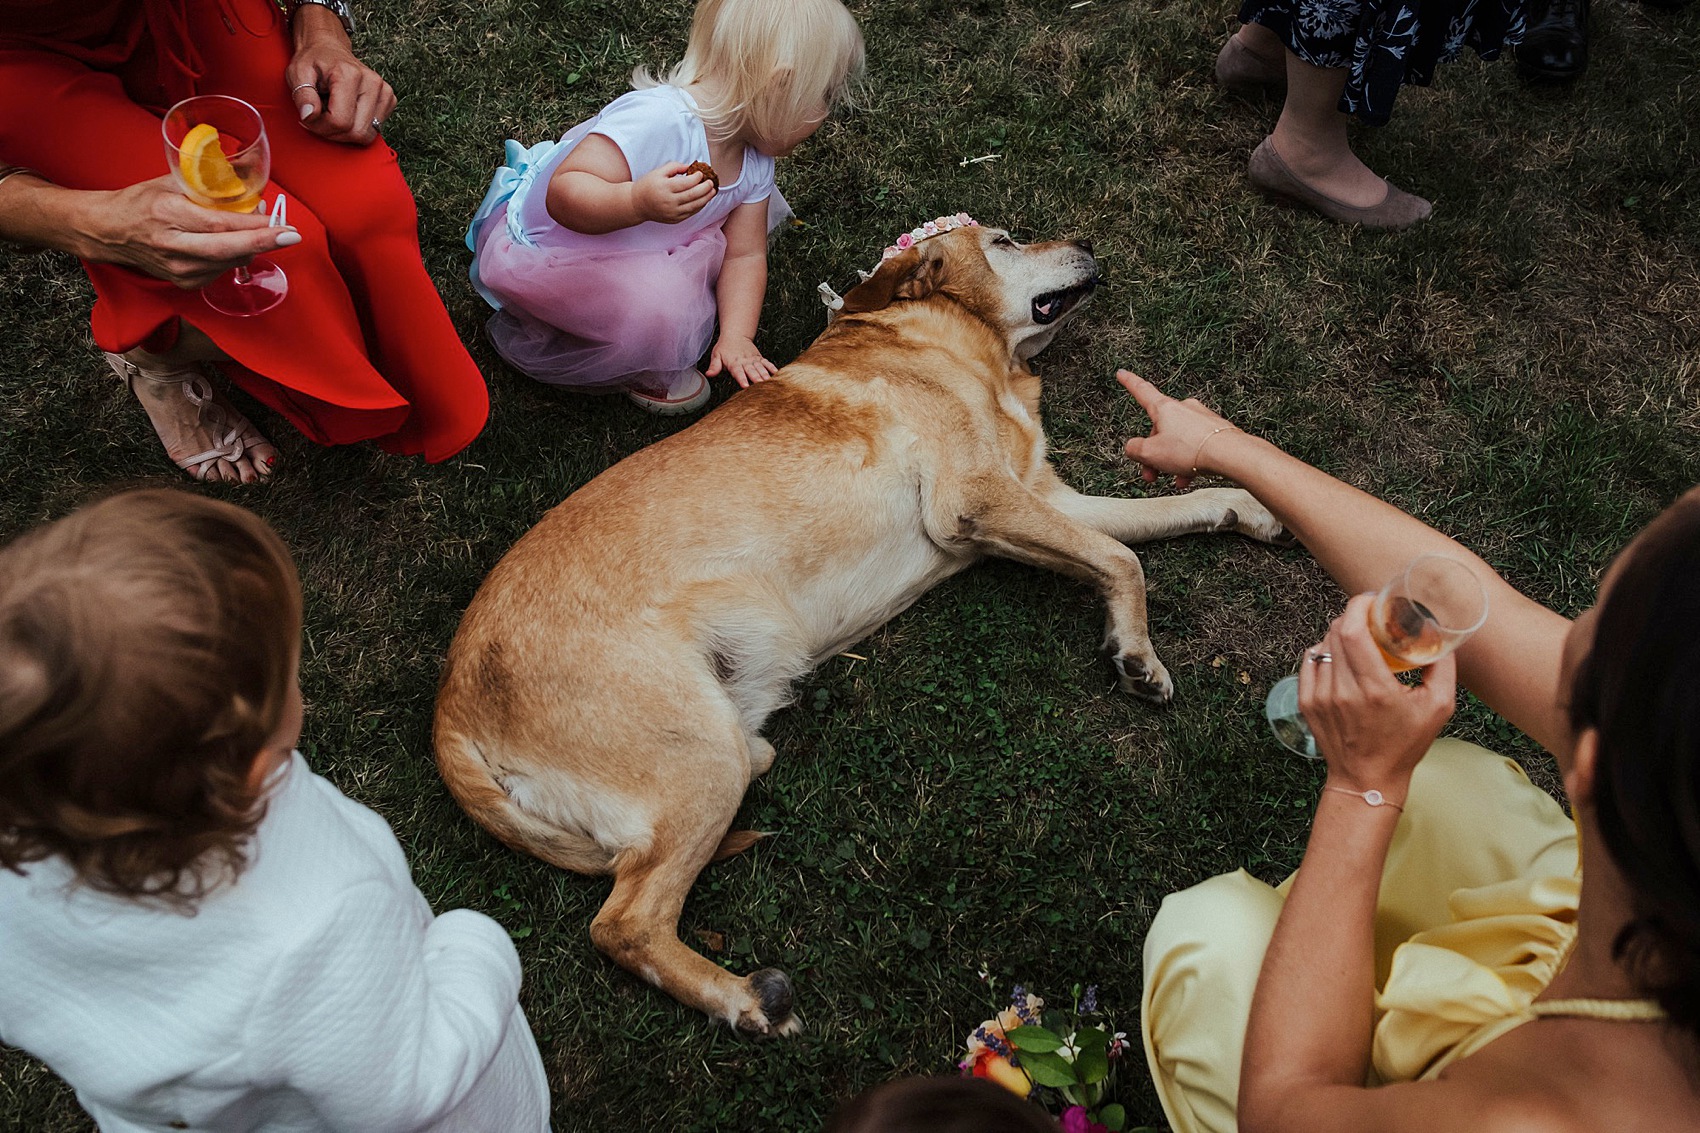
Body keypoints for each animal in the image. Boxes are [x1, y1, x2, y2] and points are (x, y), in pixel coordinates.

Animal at [431, 221, 1278, 1034]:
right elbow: (1124, 560)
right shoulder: (980, 500)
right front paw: (1137, 654)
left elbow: (1162, 518)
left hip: (720, 751)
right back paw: (745, 1000)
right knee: (625, 923)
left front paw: (1246, 503)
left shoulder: (1046, 500)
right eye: (1005, 240)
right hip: (701, 759)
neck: (967, 351)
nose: (1091, 244)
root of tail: (449, 713)